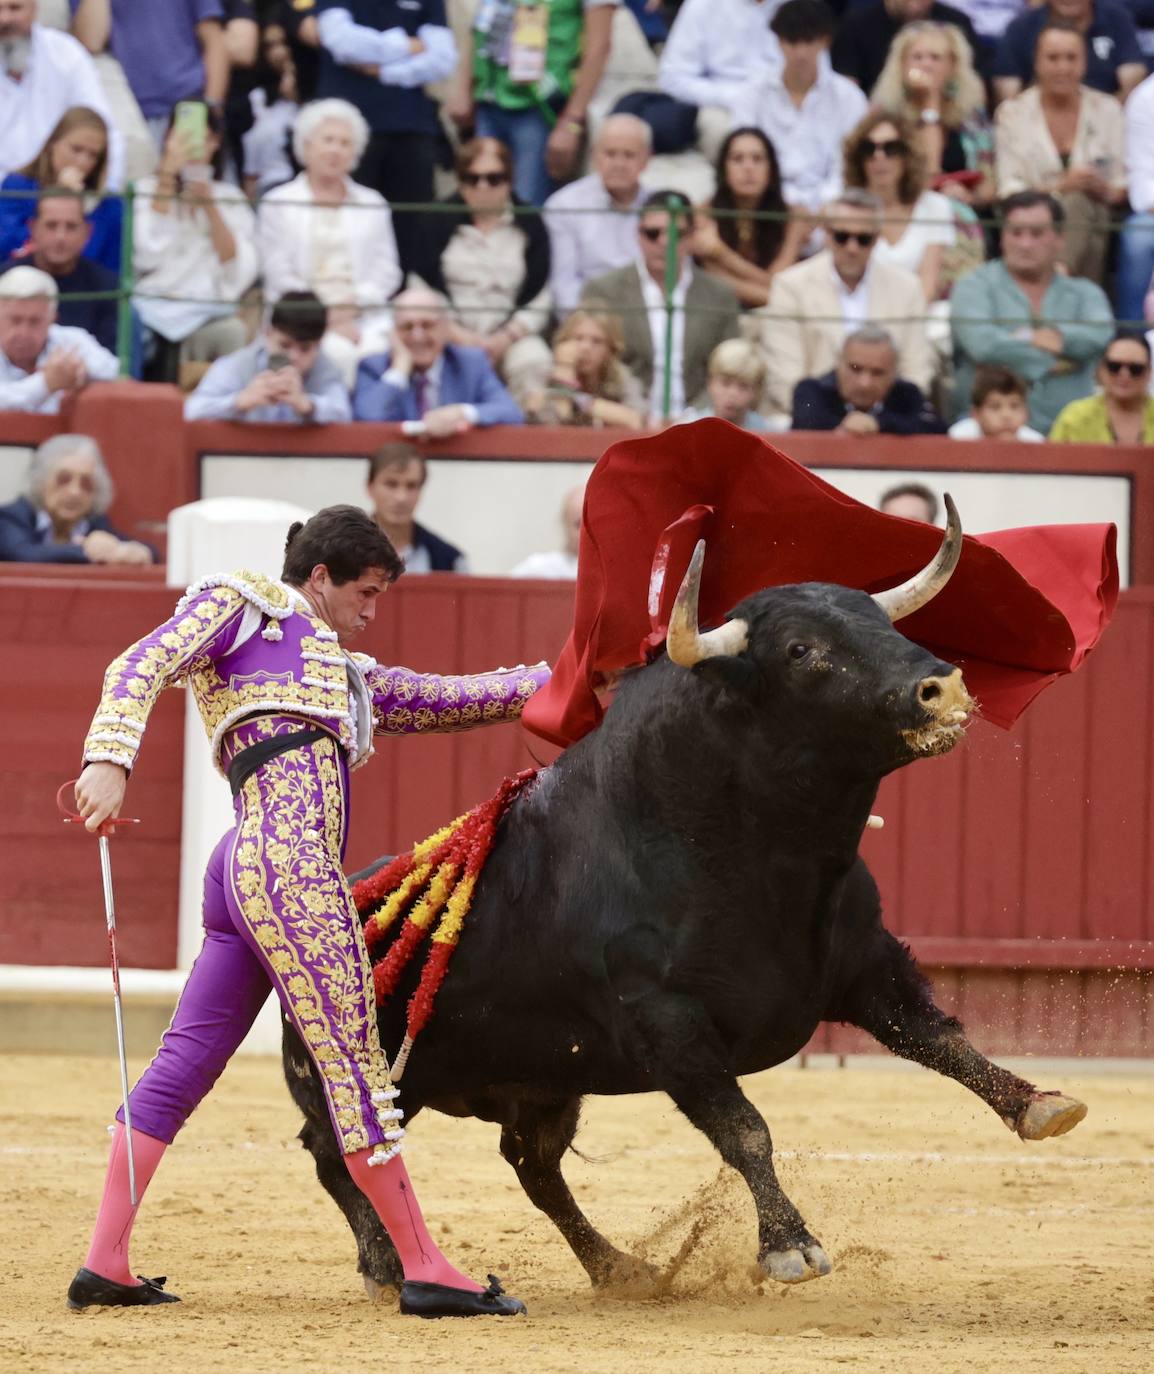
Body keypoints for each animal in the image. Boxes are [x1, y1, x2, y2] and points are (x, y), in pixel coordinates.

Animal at [284, 500, 1088, 1291]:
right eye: (801, 651)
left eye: (883, 623)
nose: (943, 687)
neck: (761, 854)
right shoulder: (667, 1019)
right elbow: (744, 1128)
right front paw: (789, 1246)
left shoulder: (869, 965)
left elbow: (940, 1036)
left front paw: (1038, 1104)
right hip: (350, 1071)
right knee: (338, 1152)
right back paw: (386, 1268)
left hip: (543, 1081)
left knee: (532, 1165)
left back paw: (618, 1268)